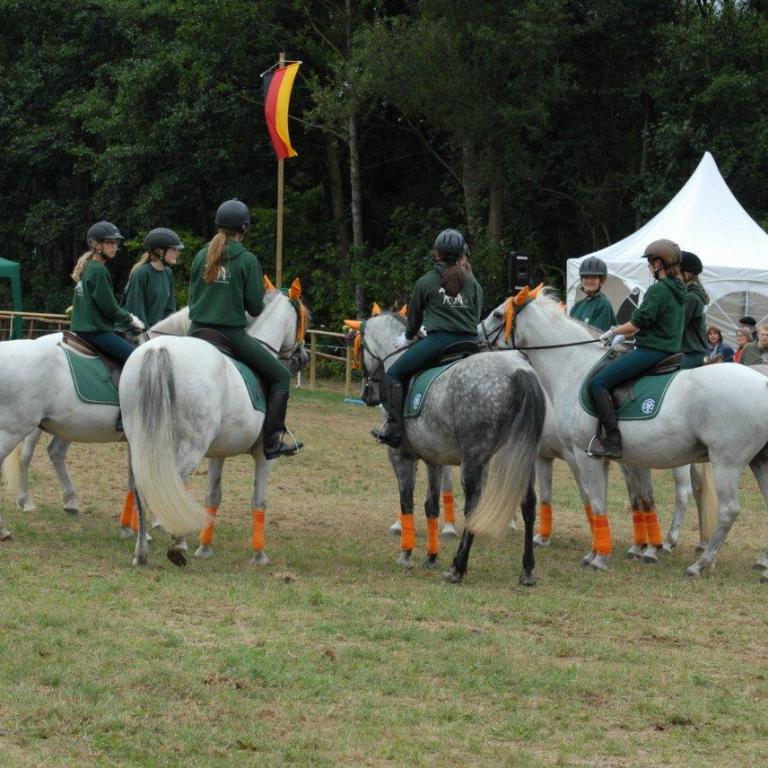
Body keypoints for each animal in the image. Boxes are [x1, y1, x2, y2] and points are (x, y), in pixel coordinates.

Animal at [119, 286, 308, 567]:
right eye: (303, 319)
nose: (302, 357)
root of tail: (160, 349)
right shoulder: (264, 456)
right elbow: (259, 500)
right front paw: (259, 555)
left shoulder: (217, 454)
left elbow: (213, 496)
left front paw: (205, 548)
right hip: (189, 447)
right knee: (172, 483)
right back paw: (178, 545)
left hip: (140, 442)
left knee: (142, 487)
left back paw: (142, 552)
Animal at [348, 311, 546, 586]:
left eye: (359, 348)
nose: (367, 396)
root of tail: (518, 370)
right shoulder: (435, 460)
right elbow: (431, 506)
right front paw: (431, 557)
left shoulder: (401, 457)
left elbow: (406, 502)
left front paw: (406, 554)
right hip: (521, 457)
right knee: (528, 504)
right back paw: (527, 570)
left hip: (474, 458)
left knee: (473, 504)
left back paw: (457, 567)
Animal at [472, 285, 768, 580]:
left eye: (498, 314)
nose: (476, 336)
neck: (574, 367)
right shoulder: (605, 458)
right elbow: (613, 500)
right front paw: (602, 551)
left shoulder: (582, 454)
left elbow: (596, 502)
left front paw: (600, 557)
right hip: (758, 461)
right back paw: (761, 565)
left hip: (726, 462)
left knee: (727, 510)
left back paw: (700, 563)